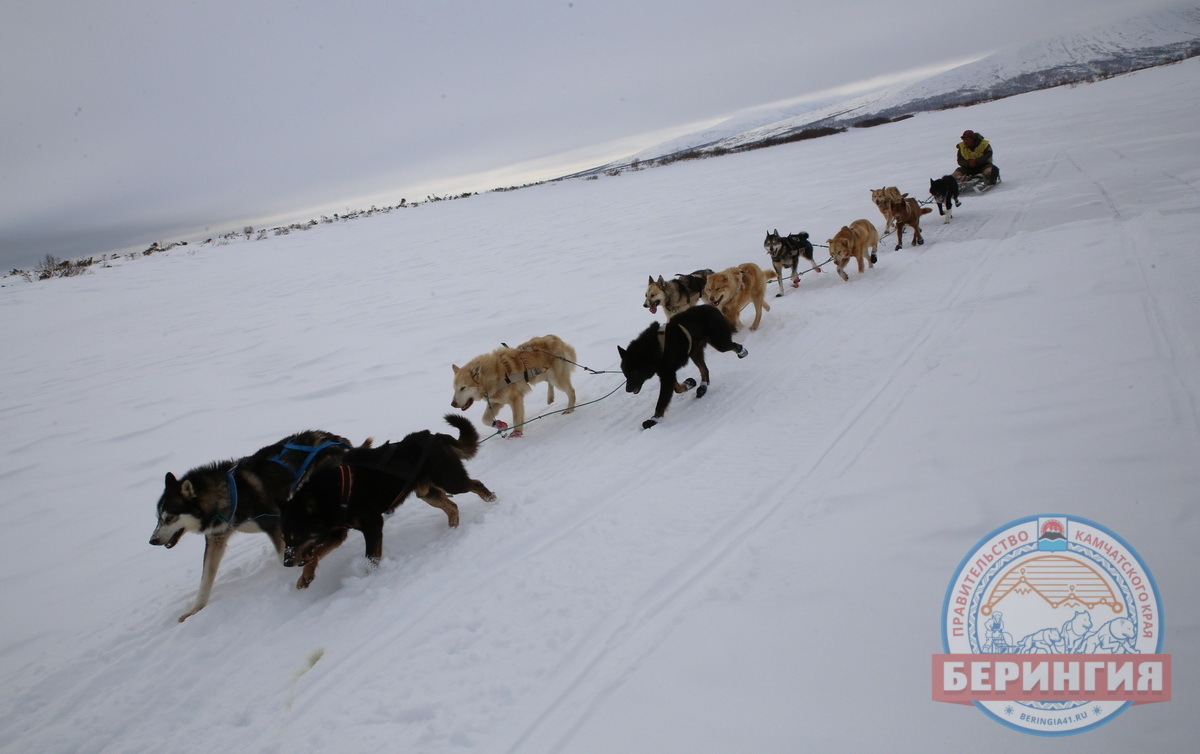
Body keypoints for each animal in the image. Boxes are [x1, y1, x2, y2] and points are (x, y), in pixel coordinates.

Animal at [148, 427, 352, 619]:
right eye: (158, 517)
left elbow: (283, 556)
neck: (230, 494)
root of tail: (336, 439)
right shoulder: (216, 538)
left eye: (169, 518)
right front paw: (194, 610)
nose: (152, 540)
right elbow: (205, 580)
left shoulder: (275, 525)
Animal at [282, 415, 496, 585]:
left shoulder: (373, 525)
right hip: (428, 493)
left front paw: (368, 578)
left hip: (451, 482)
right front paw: (306, 576)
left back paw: (492, 501)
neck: (333, 493)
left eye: (296, 536)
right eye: (285, 538)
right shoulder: (337, 533)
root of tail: (435, 436)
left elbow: (371, 559)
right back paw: (452, 530)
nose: (286, 563)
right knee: (452, 506)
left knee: (475, 484)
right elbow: (315, 554)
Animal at [624, 301, 744, 429]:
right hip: (695, 352)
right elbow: (677, 388)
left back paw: (742, 352)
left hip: (720, 344)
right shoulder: (666, 374)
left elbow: (662, 400)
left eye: (634, 373)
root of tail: (711, 307)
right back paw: (702, 387)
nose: (627, 389)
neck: (654, 349)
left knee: (734, 346)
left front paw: (654, 419)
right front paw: (689, 384)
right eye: (625, 374)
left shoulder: (667, 375)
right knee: (705, 370)